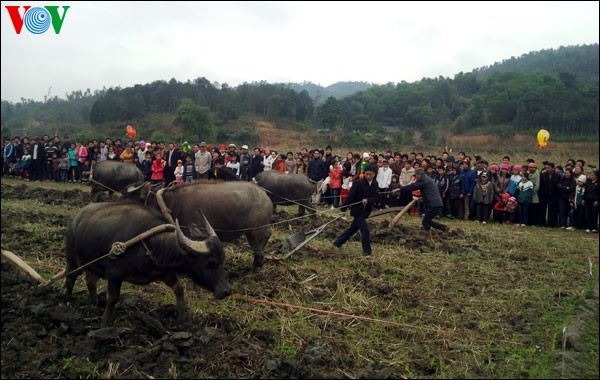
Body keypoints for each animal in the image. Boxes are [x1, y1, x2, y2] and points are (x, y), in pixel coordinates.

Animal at [65, 202, 230, 326]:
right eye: (211, 263)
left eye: (223, 260)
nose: (226, 291)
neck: (150, 246)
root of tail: (75, 220)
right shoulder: (114, 275)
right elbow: (112, 298)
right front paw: (105, 323)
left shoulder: (166, 273)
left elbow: (179, 288)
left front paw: (182, 318)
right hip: (73, 260)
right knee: (71, 276)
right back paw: (67, 299)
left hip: (91, 265)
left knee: (90, 281)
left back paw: (94, 302)